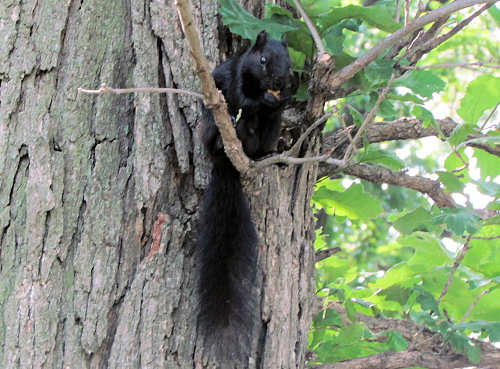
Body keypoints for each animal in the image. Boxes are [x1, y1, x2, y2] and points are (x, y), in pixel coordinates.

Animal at [197, 29, 294, 362]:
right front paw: (264, 99)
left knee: (263, 142)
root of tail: (228, 163)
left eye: (290, 62)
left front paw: (286, 96)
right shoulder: (236, 77)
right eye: (262, 59)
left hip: (268, 133)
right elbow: (243, 99)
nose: (280, 80)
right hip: (215, 127)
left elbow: (278, 106)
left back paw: (271, 155)